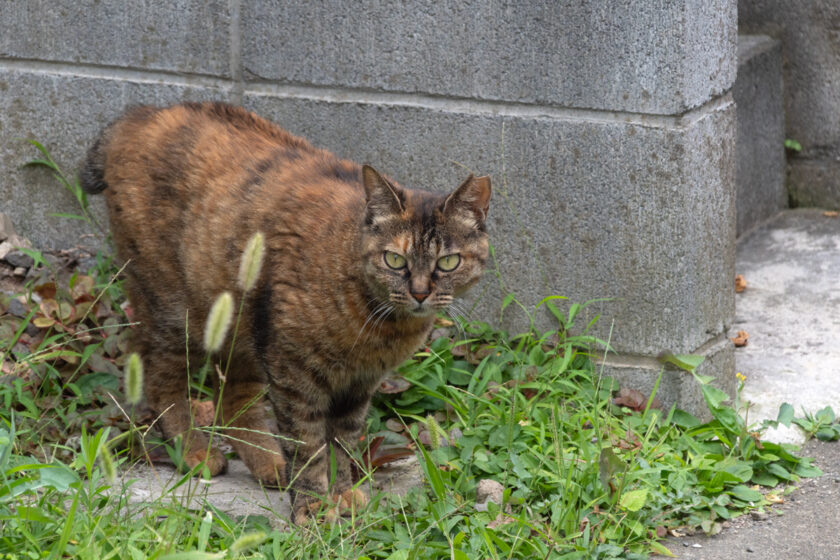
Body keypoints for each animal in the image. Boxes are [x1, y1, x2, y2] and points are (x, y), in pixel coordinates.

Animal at [79, 101, 492, 524]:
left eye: (448, 262)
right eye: (394, 259)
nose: (420, 292)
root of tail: (139, 114)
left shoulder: (357, 387)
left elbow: (342, 443)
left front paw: (341, 493)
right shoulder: (294, 375)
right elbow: (307, 445)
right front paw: (312, 506)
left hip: (240, 329)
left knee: (233, 405)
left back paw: (269, 463)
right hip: (177, 312)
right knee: (161, 378)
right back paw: (194, 450)